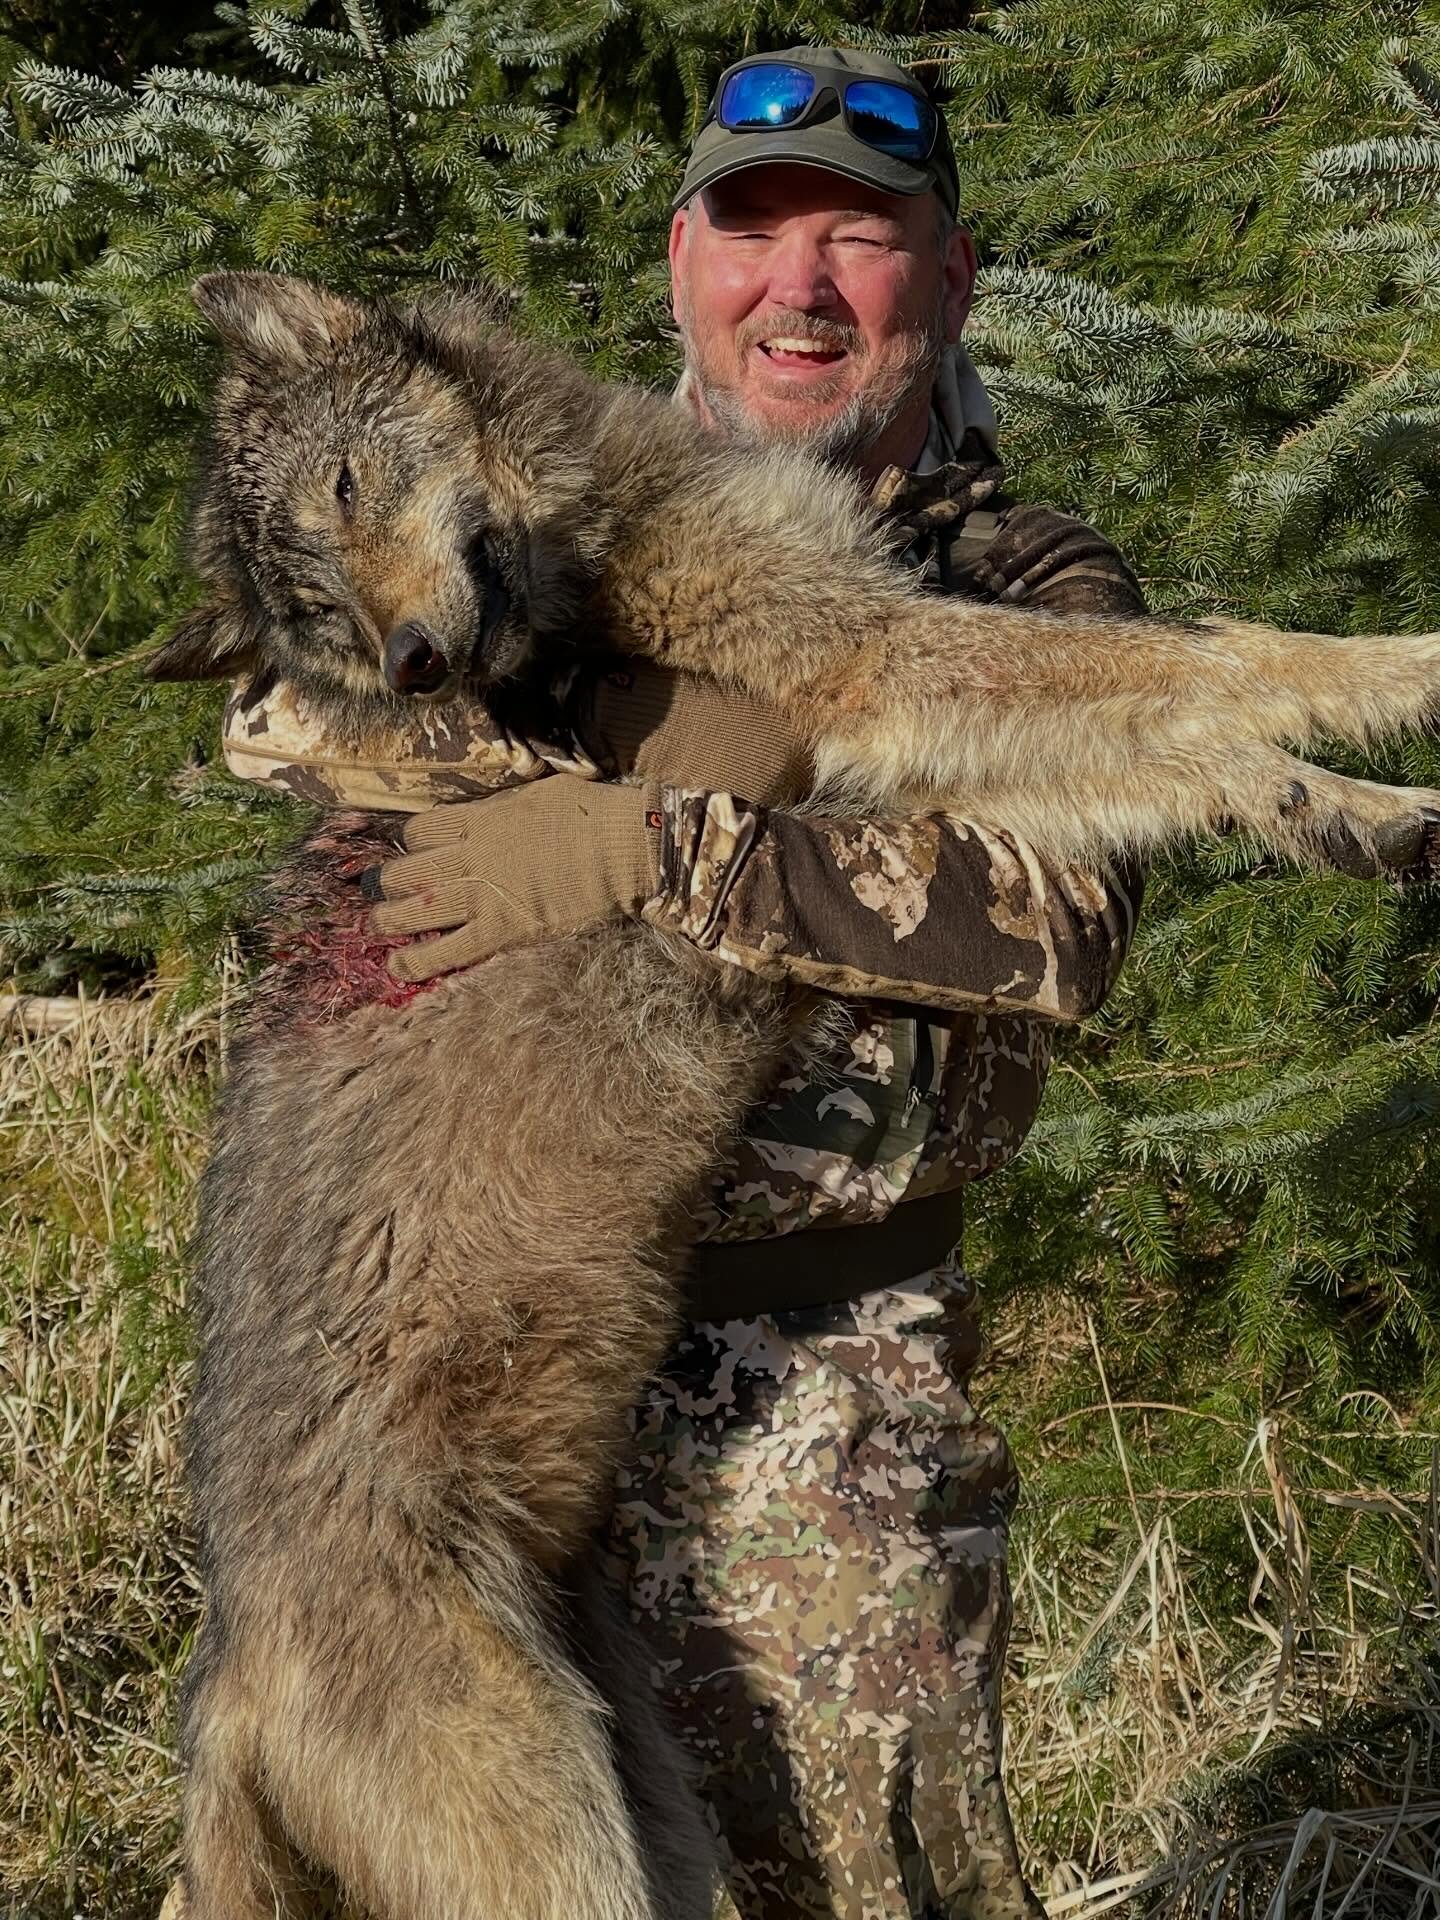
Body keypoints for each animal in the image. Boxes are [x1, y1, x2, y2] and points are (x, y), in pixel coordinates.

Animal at [150, 270, 1440, 1920]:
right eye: (313, 611)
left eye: (344, 488)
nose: (414, 666)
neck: (595, 554)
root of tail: (220, 1687)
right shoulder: (881, 661)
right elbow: (1214, 666)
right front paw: (1409, 688)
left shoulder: (896, 749)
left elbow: (1196, 713)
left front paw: (1348, 814)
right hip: (563, 1854)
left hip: (663, 1826)